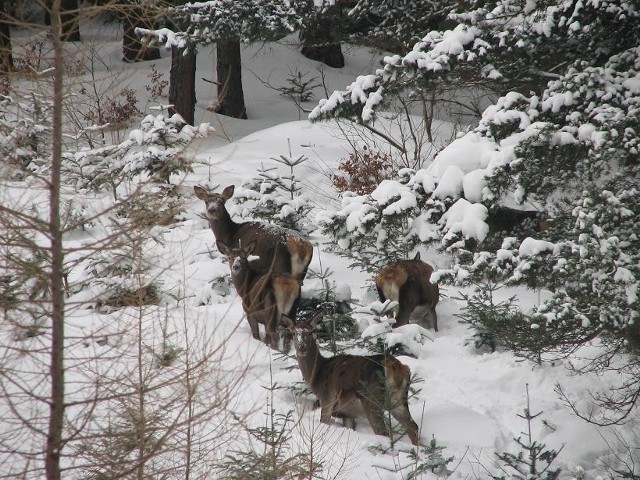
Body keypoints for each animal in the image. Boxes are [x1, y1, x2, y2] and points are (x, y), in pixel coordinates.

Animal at [282, 312, 422, 446]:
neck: (317, 375)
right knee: (413, 426)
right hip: (398, 400)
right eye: (293, 333)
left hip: (372, 399)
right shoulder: (347, 413)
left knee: (383, 432)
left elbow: (324, 422)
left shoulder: (327, 399)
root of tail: (396, 367)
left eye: (311, 332)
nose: (301, 347)